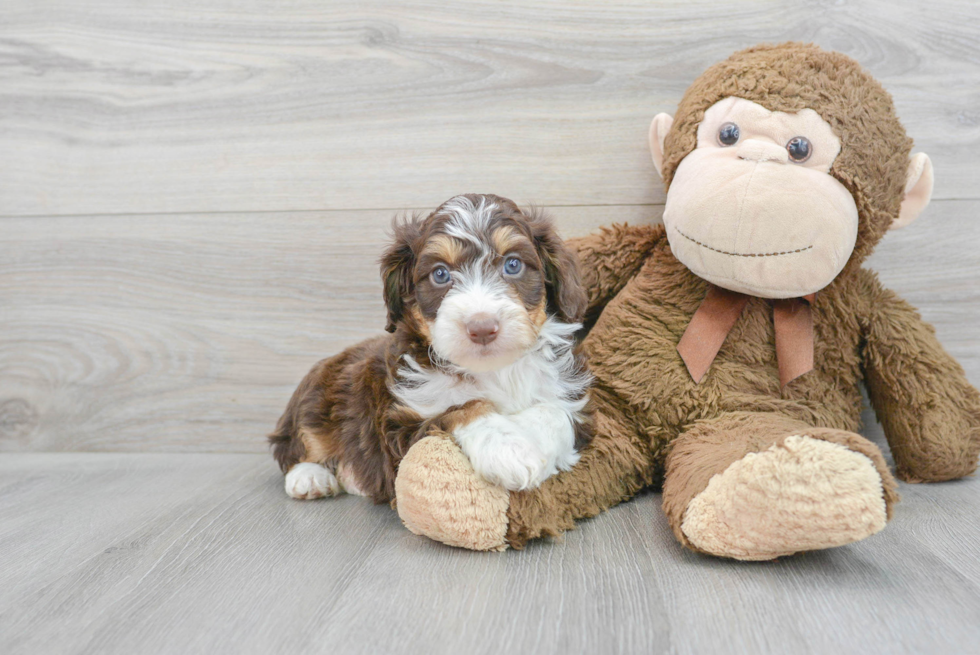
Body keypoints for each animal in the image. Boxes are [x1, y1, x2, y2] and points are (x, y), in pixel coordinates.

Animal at [268, 193, 588, 502]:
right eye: (440, 274)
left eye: (513, 264)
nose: (482, 327)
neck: (493, 370)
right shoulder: (401, 428)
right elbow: (460, 408)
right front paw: (508, 450)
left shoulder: (571, 398)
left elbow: (556, 413)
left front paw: (530, 439)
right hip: (315, 399)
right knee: (296, 446)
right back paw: (311, 478)